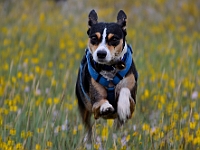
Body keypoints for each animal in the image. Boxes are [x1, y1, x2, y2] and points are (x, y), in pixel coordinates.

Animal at [75, 9, 138, 141]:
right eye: (94, 38)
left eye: (114, 39)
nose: (101, 53)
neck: (109, 68)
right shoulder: (94, 107)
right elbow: (100, 102)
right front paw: (105, 106)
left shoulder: (133, 105)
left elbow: (125, 90)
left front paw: (123, 106)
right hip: (84, 110)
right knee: (88, 127)